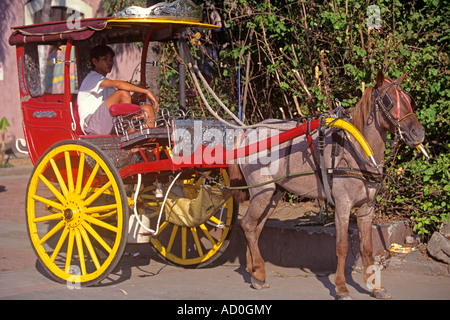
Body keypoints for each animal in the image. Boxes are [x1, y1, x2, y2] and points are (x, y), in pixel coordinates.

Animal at [232, 70, 426, 300]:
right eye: (389, 101)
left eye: (408, 100)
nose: (418, 133)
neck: (356, 150)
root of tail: (250, 132)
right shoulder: (342, 205)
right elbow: (342, 247)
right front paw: (341, 288)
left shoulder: (367, 208)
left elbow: (367, 247)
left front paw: (375, 287)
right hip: (261, 191)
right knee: (247, 225)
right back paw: (259, 272)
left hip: (273, 193)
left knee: (256, 228)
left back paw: (256, 273)